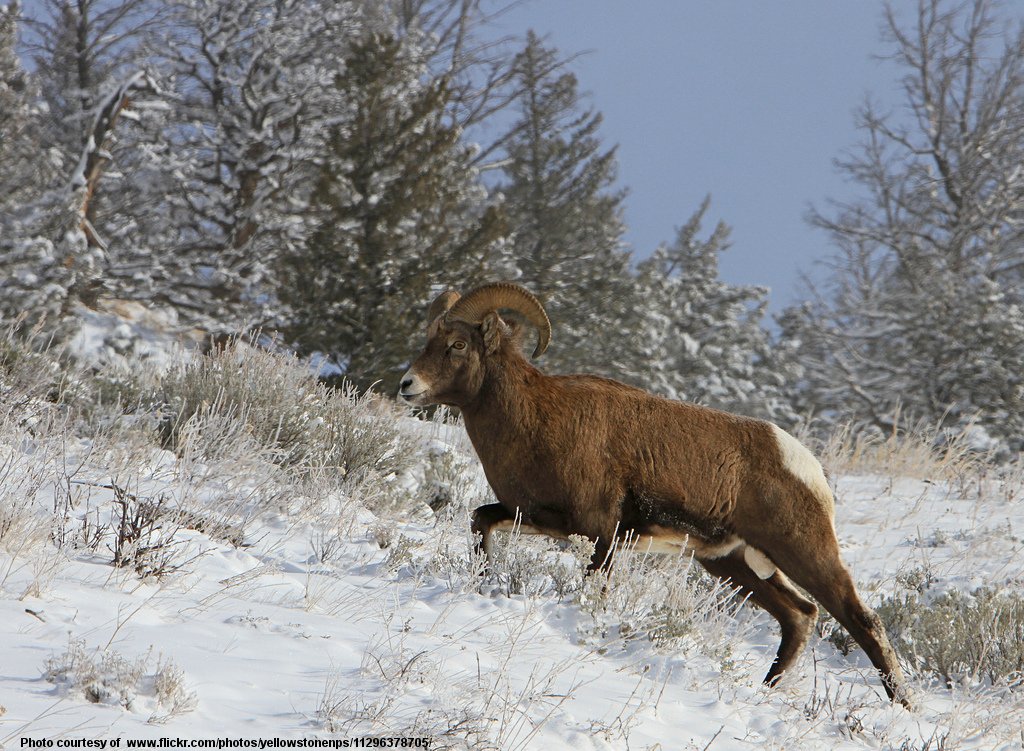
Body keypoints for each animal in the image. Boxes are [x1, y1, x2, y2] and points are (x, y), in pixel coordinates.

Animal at [399, 280, 913, 704]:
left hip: (804, 553)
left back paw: (901, 704)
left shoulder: (600, 534)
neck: (536, 419)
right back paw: (765, 690)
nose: (407, 385)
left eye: (457, 345)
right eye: (429, 341)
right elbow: (480, 520)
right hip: (732, 563)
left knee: (861, 621)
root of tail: (809, 469)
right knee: (799, 616)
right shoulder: (535, 517)